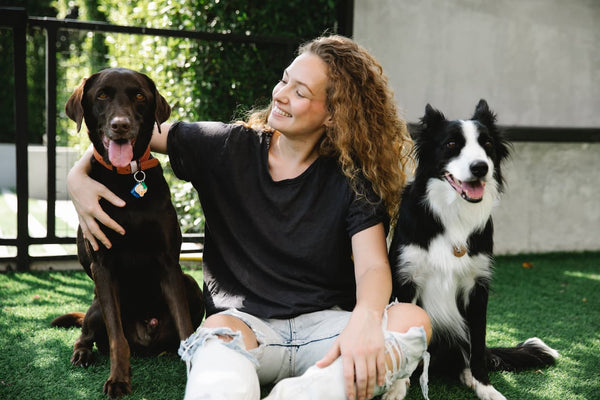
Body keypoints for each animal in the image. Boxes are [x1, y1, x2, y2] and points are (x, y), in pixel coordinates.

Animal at [52, 67, 202, 398]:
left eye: (139, 96)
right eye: (102, 95)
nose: (120, 125)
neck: (126, 178)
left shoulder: (169, 263)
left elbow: (186, 328)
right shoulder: (103, 265)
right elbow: (116, 337)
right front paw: (119, 379)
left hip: (190, 285)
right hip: (96, 306)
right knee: (86, 334)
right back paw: (82, 354)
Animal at [390, 100, 556, 400]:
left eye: (487, 143)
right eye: (451, 144)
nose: (480, 167)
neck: (453, 213)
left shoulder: (477, 288)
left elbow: (477, 343)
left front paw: (485, 386)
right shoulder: (406, 280)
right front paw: (396, 388)